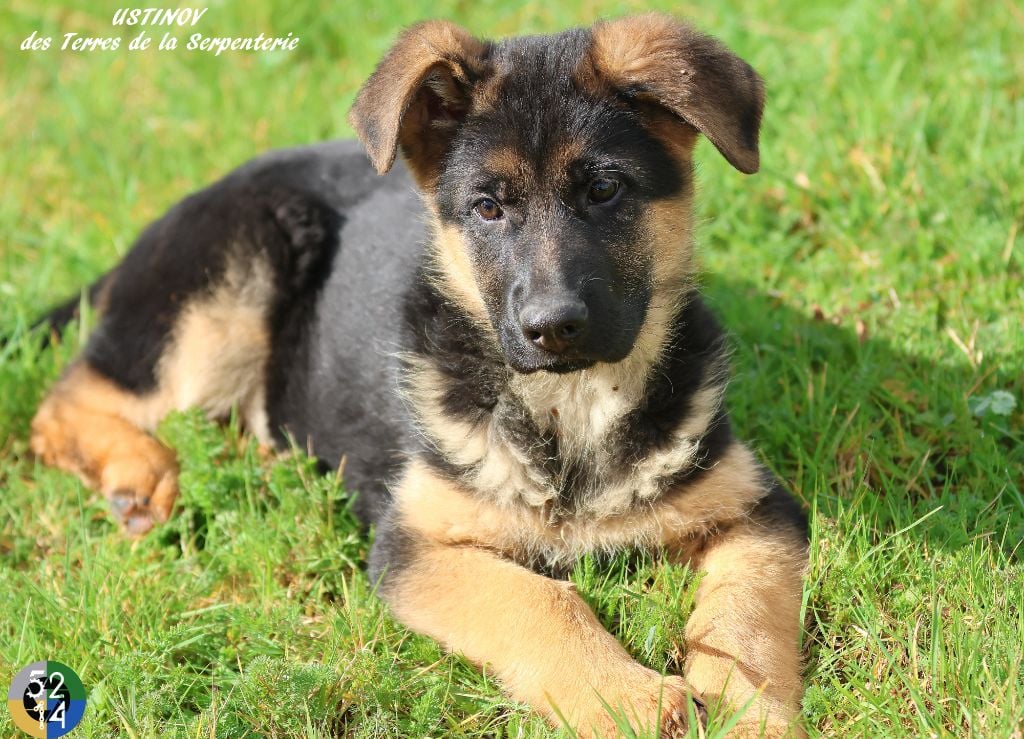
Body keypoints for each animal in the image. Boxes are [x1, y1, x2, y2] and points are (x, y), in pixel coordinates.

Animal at [29, 12, 806, 736]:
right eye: (488, 207)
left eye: (605, 191)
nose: (552, 327)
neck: (570, 402)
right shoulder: (416, 543)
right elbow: (541, 600)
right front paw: (631, 698)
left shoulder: (757, 510)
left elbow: (745, 624)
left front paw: (752, 715)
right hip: (230, 281)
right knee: (66, 402)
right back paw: (138, 472)